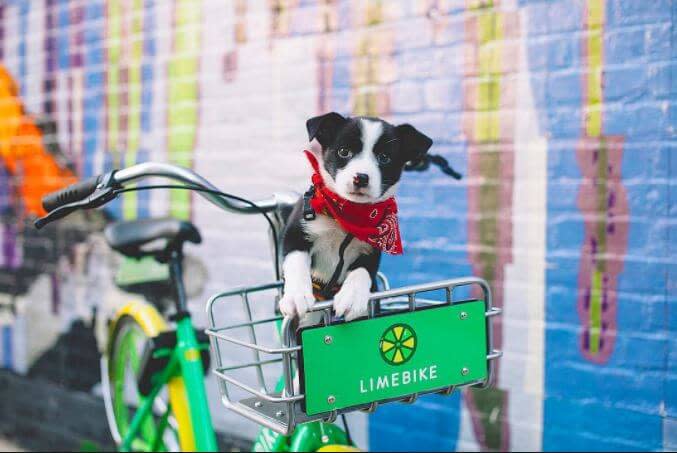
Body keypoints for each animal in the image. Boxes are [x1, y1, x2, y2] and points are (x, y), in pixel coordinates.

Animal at [282, 113, 434, 322]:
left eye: (384, 158)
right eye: (344, 152)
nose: (361, 177)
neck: (346, 214)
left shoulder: (371, 249)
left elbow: (363, 271)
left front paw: (353, 297)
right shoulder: (296, 233)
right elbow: (296, 261)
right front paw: (296, 296)